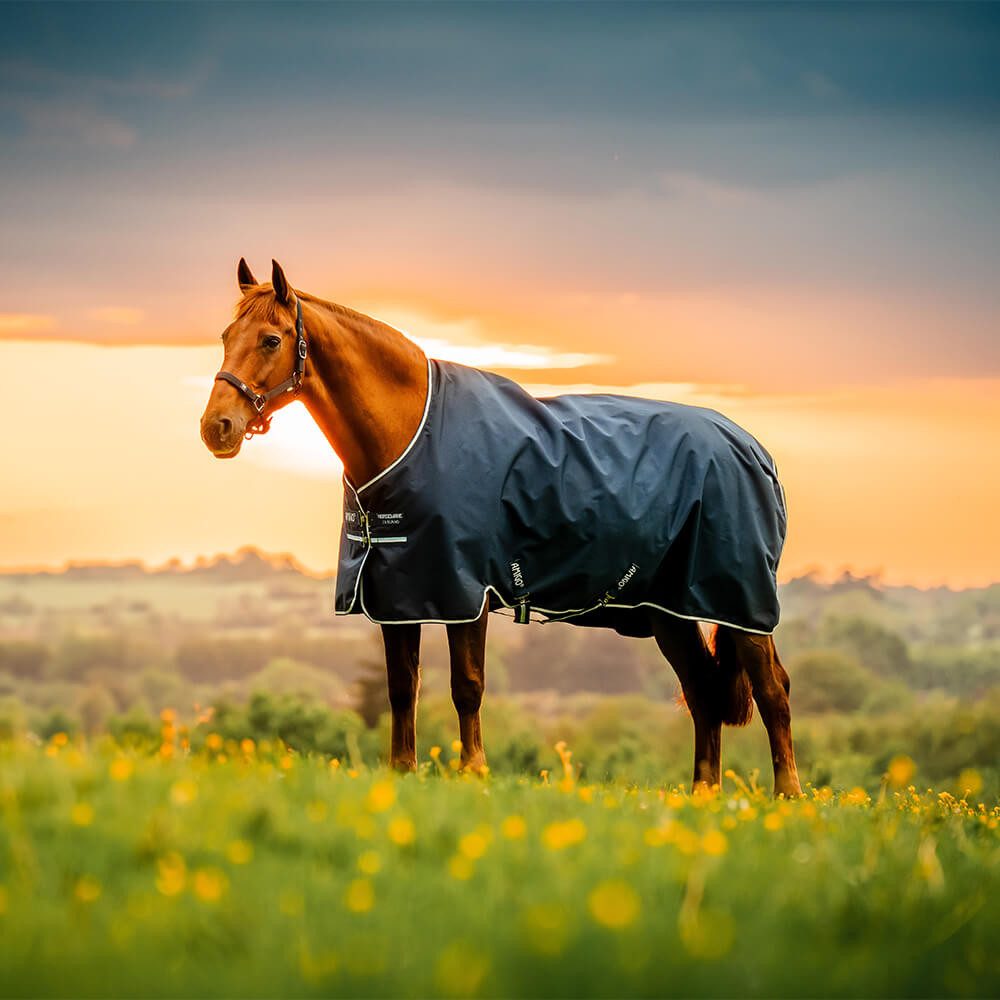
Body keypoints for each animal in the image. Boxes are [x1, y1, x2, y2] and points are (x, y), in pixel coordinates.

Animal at [200, 258, 802, 797]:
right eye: (226, 335)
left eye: (271, 340)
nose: (216, 428)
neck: (411, 433)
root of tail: (754, 450)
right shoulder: (398, 595)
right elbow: (402, 688)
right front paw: (403, 771)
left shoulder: (464, 591)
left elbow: (467, 686)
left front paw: (473, 773)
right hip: (668, 611)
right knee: (702, 691)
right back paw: (704, 795)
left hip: (742, 603)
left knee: (773, 690)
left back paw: (789, 797)